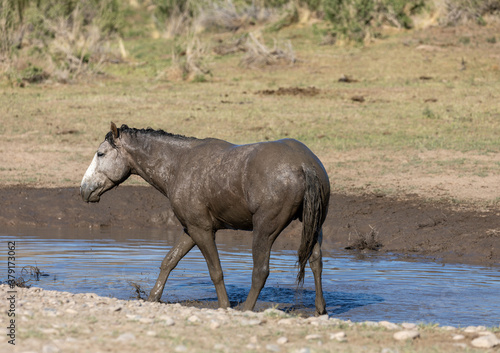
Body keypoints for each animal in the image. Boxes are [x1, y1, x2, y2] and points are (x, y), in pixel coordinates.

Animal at [80, 121, 330, 314]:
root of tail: (304, 164)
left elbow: (215, 271)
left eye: (101, 154)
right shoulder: (191, 229)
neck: (179, 164)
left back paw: (246, 309)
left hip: (265, 230)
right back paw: (320, 309)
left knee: (260, 271)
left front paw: (224, 306)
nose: (83, 190)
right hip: (314, 227)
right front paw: (153, 298)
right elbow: (169, 261)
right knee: (316, 263)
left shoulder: (202, 230)